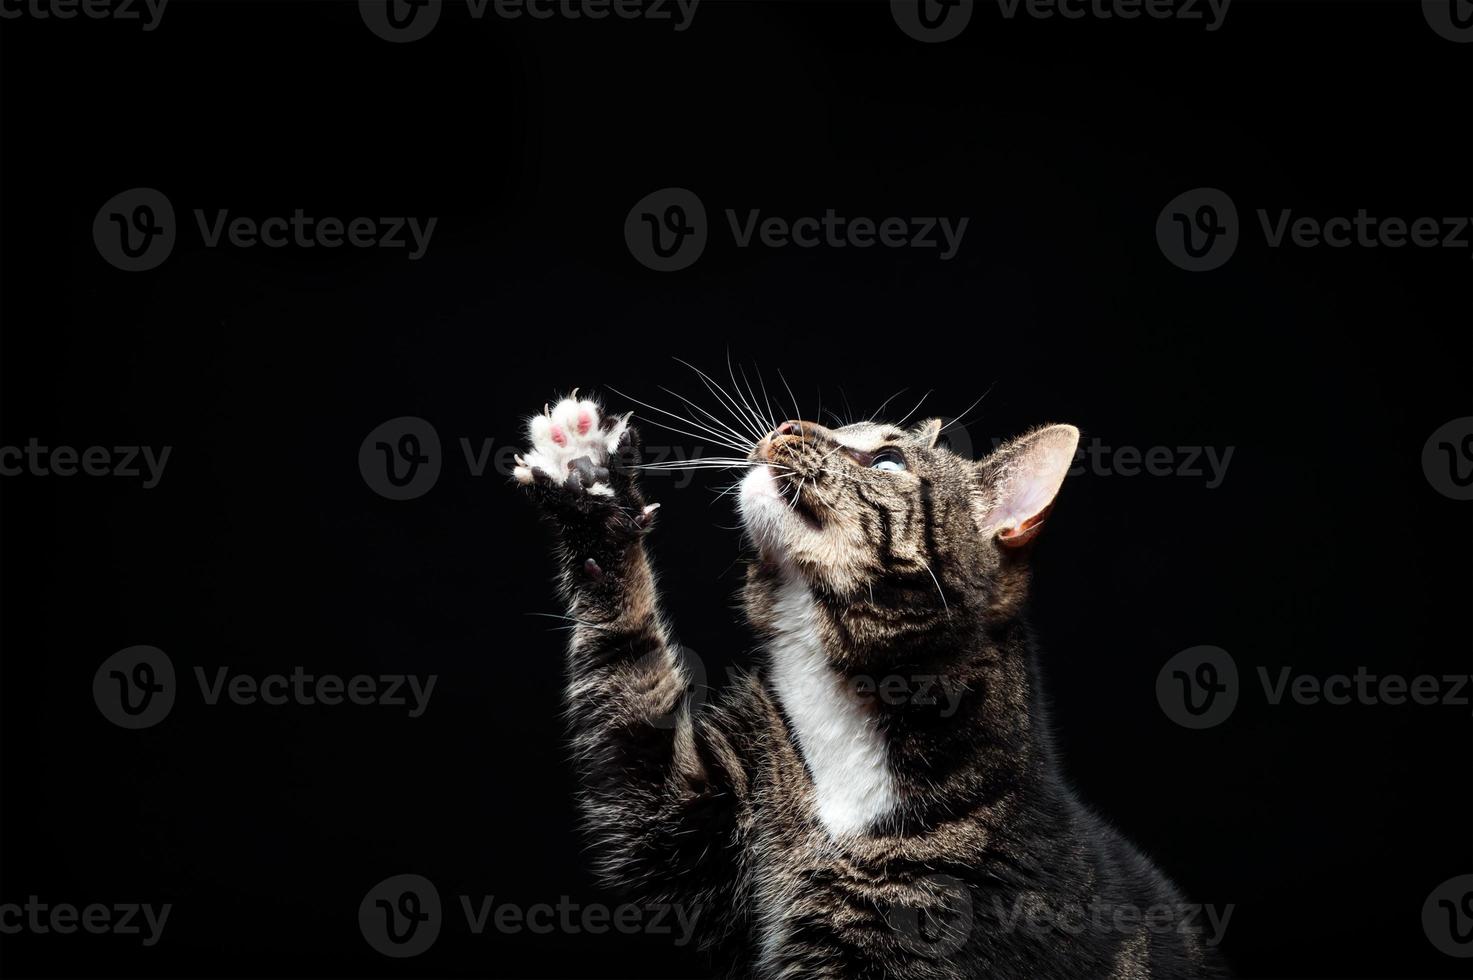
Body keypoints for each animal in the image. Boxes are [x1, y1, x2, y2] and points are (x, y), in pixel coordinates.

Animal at [512, 386, 1225, 972]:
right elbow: (631, 681)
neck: (843, 714)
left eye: (887, 462)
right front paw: (589, 482)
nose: (788, 424)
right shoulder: (681, 814)